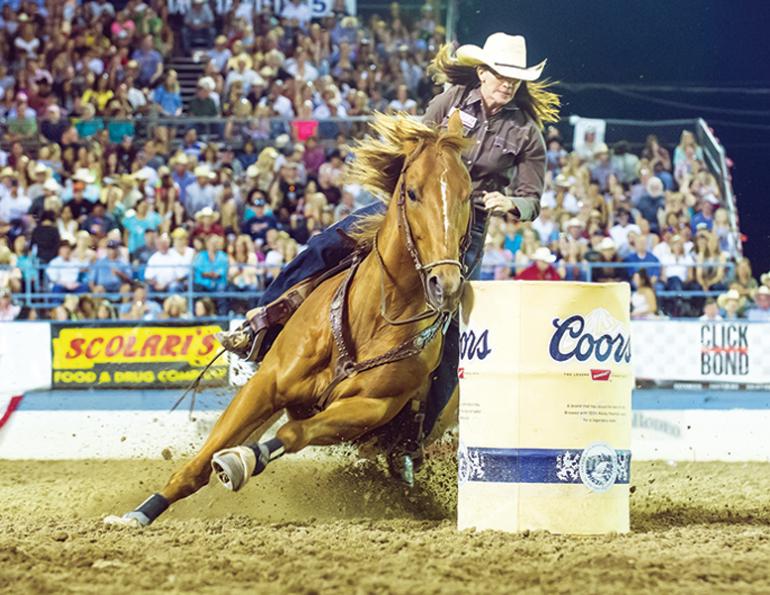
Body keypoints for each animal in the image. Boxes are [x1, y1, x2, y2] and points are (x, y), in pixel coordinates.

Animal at [105, 111, 472, 527]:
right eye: (411, 192)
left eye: (466, 195)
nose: (445, 283)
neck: (376, 317)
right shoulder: (267, 385)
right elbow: (197, 465)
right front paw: (138, 514)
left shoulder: (367, 409)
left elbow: (295, 433)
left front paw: (241, 461)